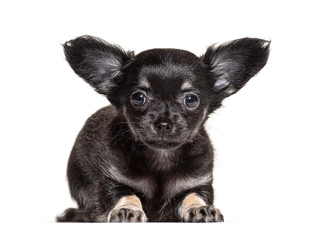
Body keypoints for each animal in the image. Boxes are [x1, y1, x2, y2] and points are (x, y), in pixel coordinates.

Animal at [57, 34, 270, 222]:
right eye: (138, 98)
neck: (161, 157)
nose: (164, 123)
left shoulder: (197, 183)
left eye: (191, 100)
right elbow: (126, 196)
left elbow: (193, 196)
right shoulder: (112, 182)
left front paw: (200, 209)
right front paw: (127, 210)